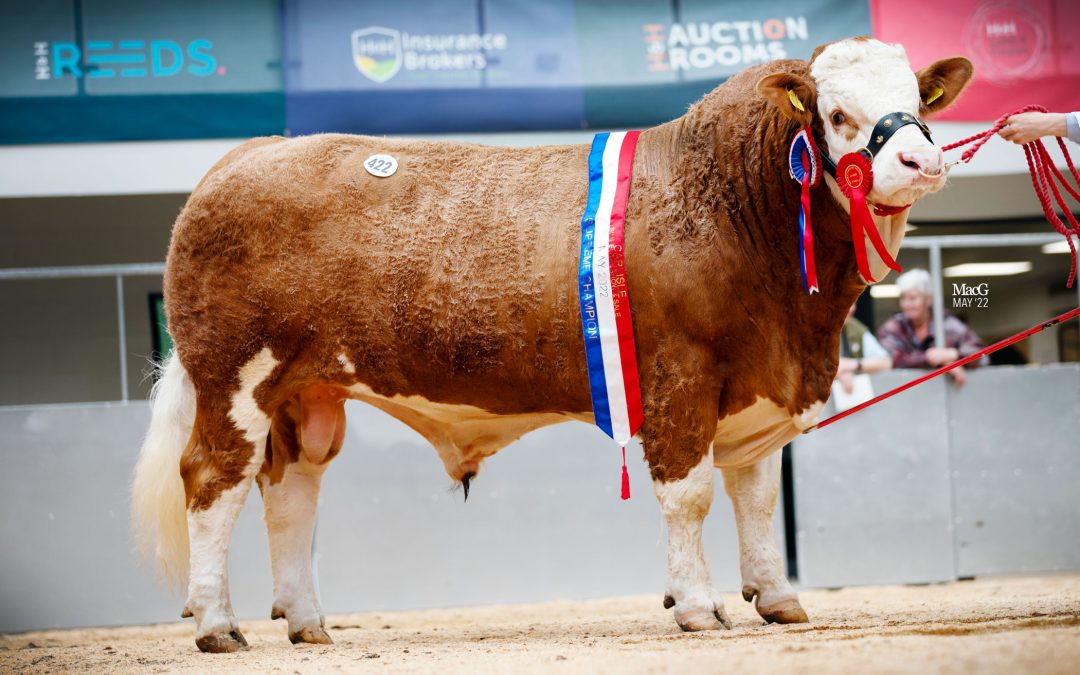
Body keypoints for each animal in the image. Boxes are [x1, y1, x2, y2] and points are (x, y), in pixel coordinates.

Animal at [132, 38, 972, 652]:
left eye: (914, 102)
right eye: (837, 113)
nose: (920, 160)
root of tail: (243, 156)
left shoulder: (759, 383)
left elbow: (756, 496)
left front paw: (778, 595)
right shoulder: (682, 376)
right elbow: (692, 495)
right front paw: (698, 605)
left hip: (307, 393)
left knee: (290, 494)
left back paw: (307, 622)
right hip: (234, 378)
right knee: (212, 481)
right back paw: (217, 624)